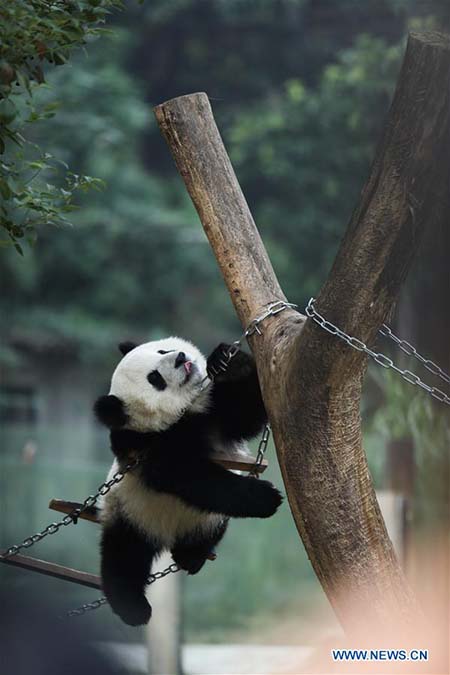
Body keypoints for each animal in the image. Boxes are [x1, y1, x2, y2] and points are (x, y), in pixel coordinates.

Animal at [94, 338, 284, 628]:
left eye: (162, 350)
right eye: (155, 379)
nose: (180, 357)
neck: (183, 416)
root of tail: (167, 536)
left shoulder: (212, 412)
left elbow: (245, 412)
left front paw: (227, 361)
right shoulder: (142, 444)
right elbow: (187, 475)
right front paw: (267, 498)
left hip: (206, 520)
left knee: (204, 532)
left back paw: (191, 556)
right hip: (127, 512)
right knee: (123, 558)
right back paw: (134, 609)